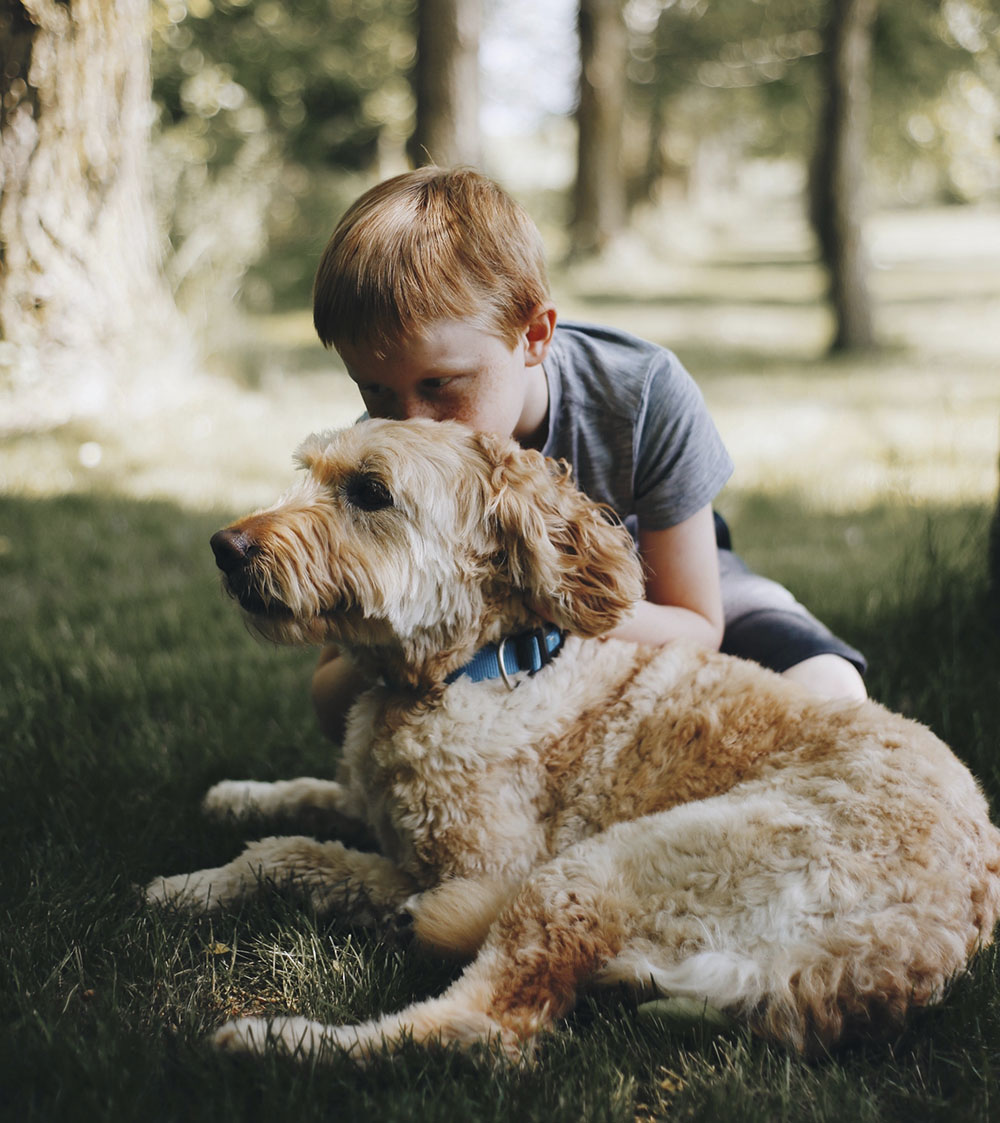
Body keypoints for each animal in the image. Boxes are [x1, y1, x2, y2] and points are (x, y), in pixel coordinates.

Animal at [146, 420, 997, 1060]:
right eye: (313, 471)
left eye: (371, 492)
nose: (225, 546)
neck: (478, 666)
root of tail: (908, 952)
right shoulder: (376, 805)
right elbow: (303, 810)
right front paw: (232, 807)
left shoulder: (482, 864)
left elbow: (300, 854)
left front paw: (191, 884)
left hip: (595, 871)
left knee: (481, 1027)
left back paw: (280, 1040)